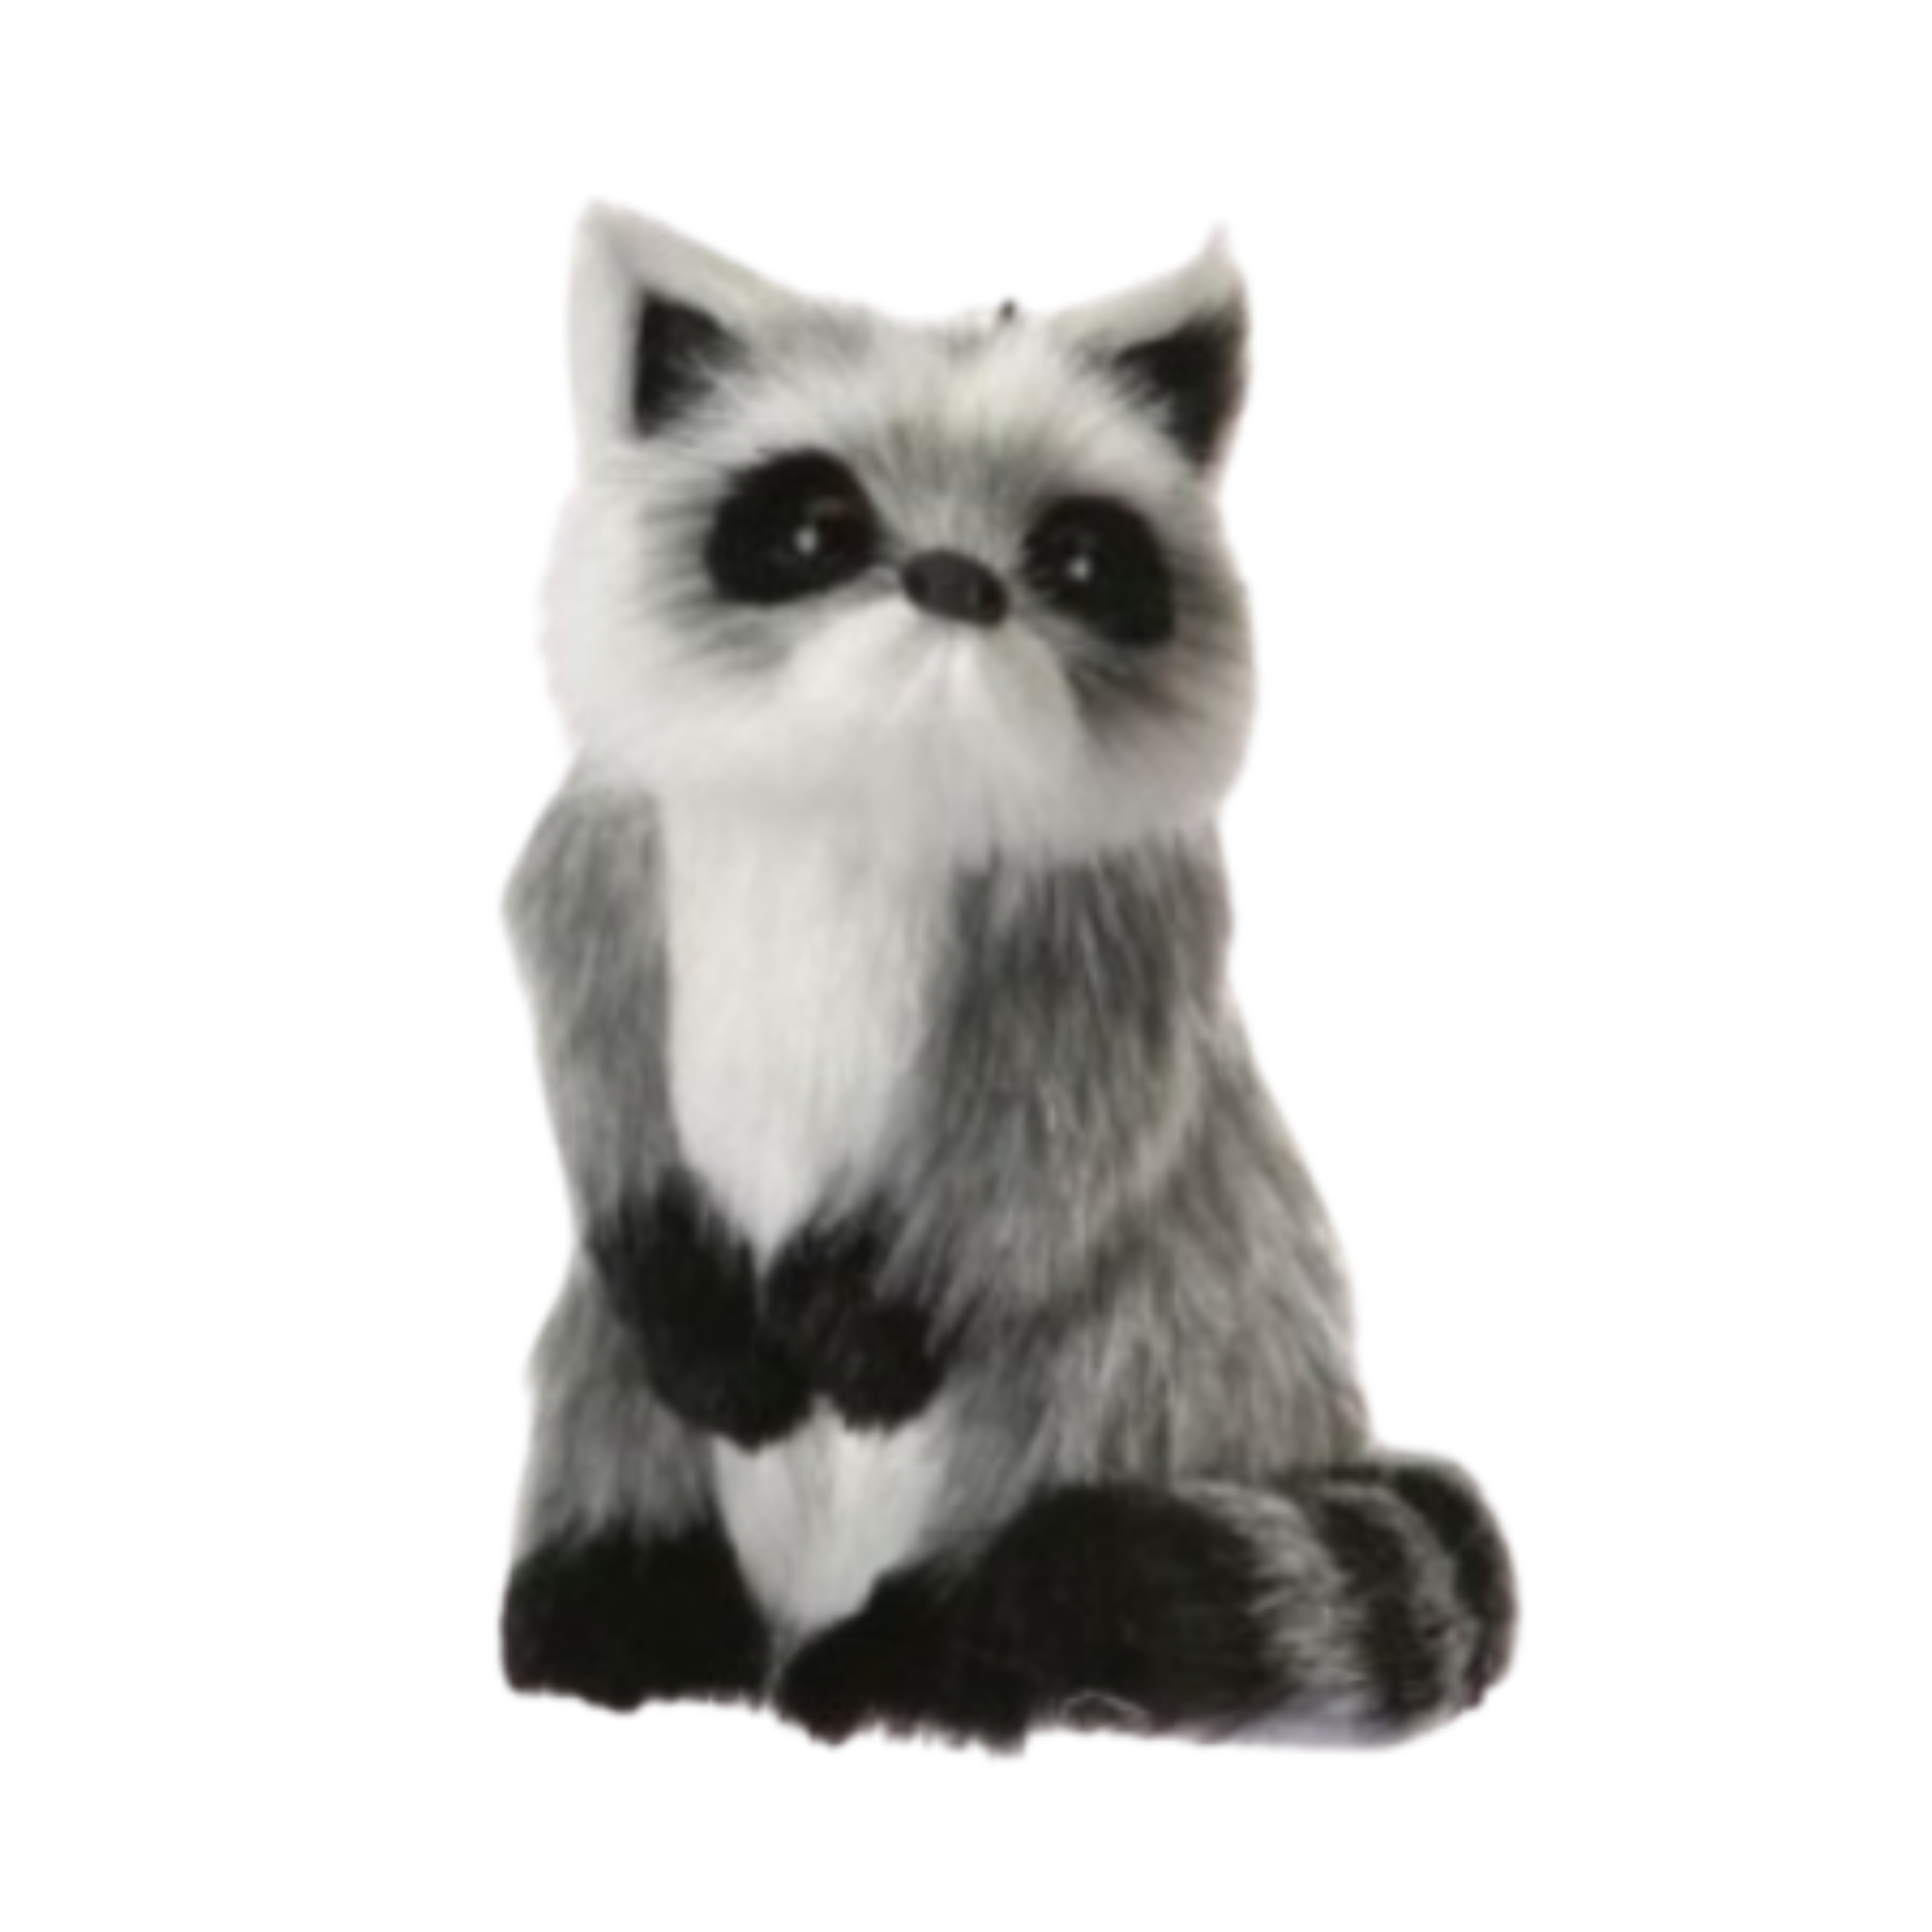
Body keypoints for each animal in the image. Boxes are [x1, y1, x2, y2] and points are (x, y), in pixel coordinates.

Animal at [493, 196, 1524, 1755]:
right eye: (814, 526)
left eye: (1078, 558)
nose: (953, 579)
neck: (875, 778)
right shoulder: (604, 850)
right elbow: (591, 1058)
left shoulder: (1109, 921)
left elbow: (1053, 1135)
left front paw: (891, 1300)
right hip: (613, 1355)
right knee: (613, 1368)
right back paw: (640, 1593)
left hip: (1152, 1345)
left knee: (1075, 1374)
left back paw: (949, 1636)